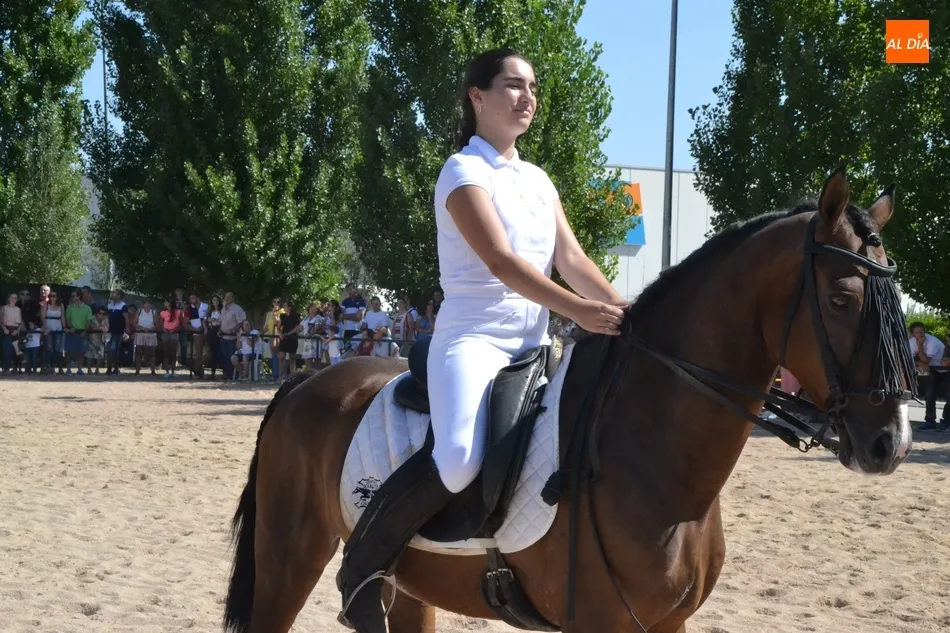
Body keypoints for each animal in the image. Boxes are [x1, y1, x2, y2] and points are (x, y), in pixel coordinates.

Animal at [222, 167, 916, 633]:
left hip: (411, 584)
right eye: (842, 300)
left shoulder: (667, 624)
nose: (893, 443)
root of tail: (306, 381)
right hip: (289, 558)